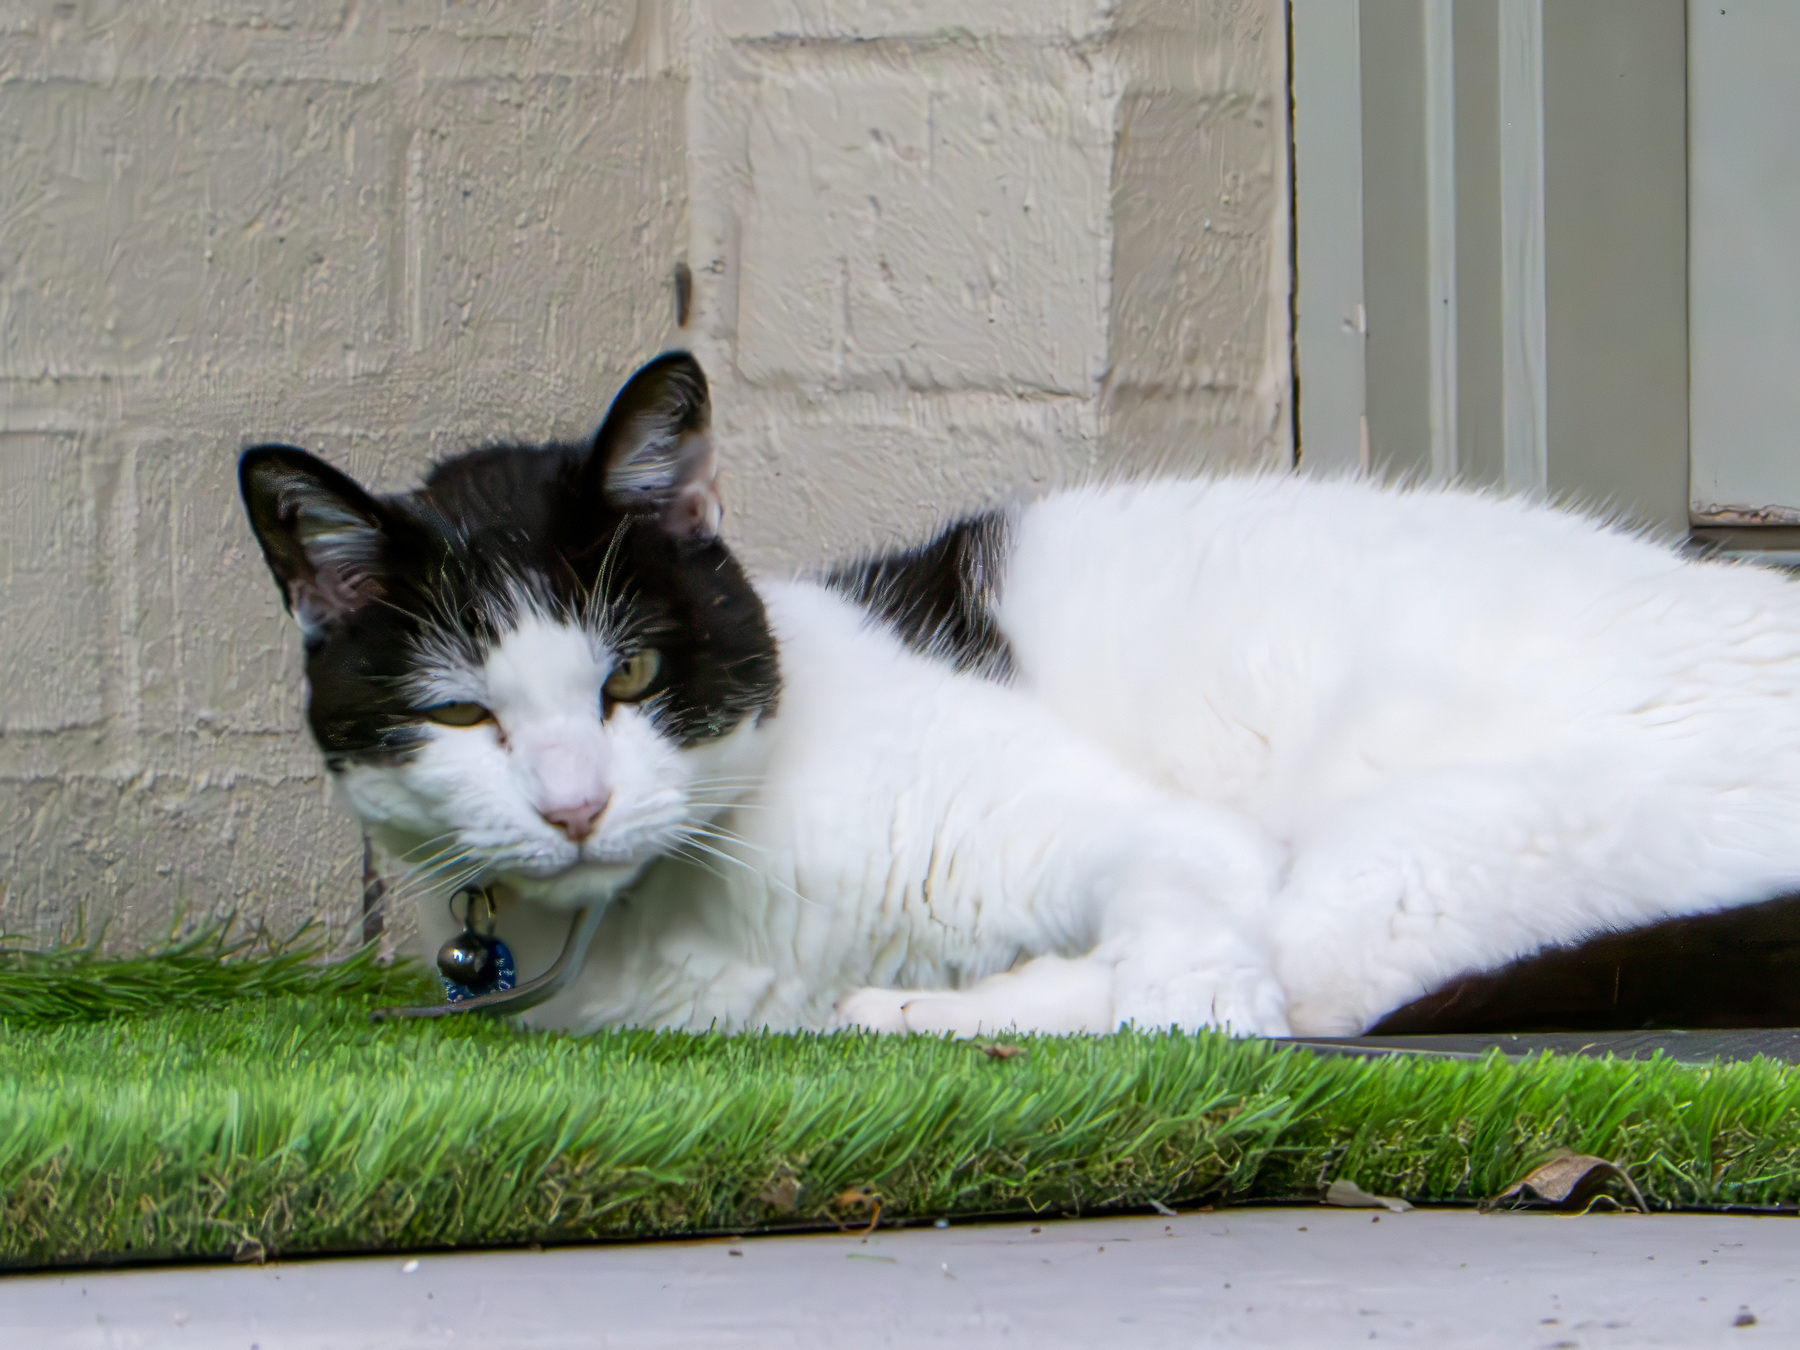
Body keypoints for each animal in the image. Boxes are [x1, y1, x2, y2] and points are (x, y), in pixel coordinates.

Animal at [243, 349, 1800, 1036]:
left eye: (631, 674)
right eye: (464, 716)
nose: (573, 807)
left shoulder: (1154, 835)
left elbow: (1184, 947)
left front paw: (1171, 991)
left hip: (1405, 858)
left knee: (1315, 986)